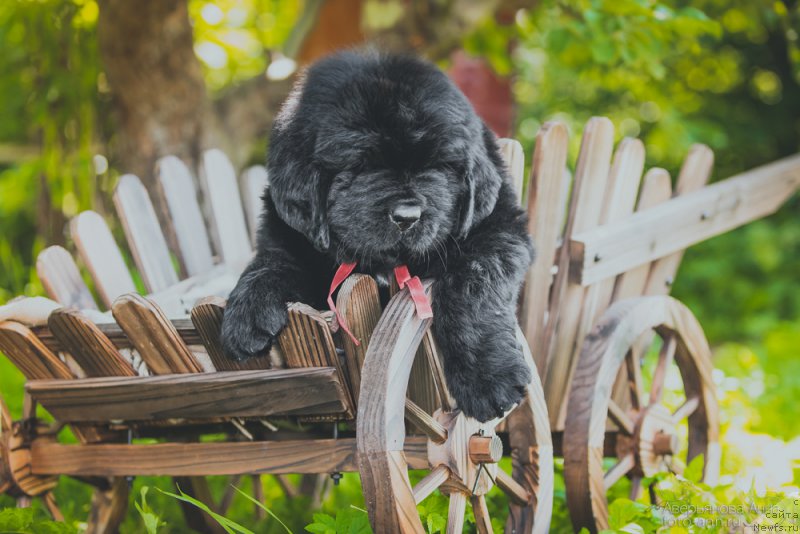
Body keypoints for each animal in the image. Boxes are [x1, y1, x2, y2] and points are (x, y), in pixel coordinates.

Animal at [220, 52, 532, 426]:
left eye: (439, 166)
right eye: (361, 164)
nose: (407, 215)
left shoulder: (498, 231)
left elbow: (473, 286)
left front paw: (489, 379)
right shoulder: (289, 237)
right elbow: (270, 264)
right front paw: (244, 315)